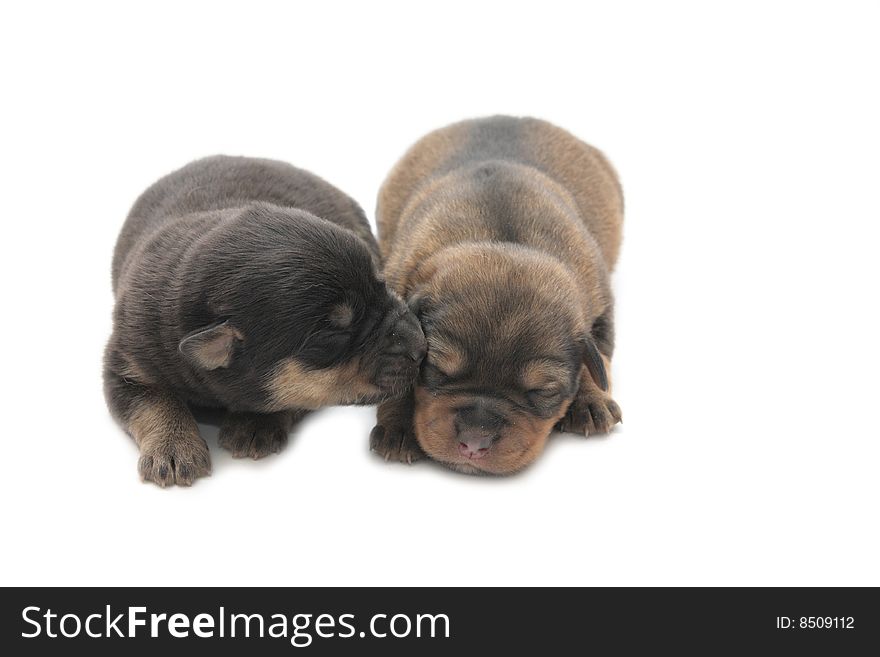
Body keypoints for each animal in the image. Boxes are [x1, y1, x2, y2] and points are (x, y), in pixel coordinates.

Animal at [105, 156, 428, 484]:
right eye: (332, 333)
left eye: (382, 284)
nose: (421, 345)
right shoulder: (125, 363)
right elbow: (154, 404)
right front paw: (174, 447)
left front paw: (254, 424)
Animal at [368, 114, 624, 472]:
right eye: (437, 370)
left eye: (541, 391)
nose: (474, 443)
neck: (501, 238)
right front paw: (398, 428)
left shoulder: (600, 307)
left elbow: (597, 358)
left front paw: (591, 400)